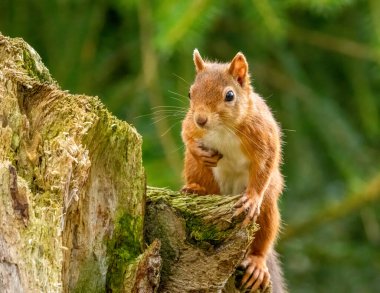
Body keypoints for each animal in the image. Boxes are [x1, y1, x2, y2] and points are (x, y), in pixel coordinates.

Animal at [181, 49, 284, 290]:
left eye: (229, 95)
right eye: (190, 93)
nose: (201, 119)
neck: (223, 129)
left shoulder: (263, 133)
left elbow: (266, 163)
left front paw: (252, 198)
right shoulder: (191, 124)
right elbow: (186, 132)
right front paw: (197, 149)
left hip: (267, 209)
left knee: (264, 235)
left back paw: (257, 264)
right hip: (199, 172)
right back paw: (195, 189)